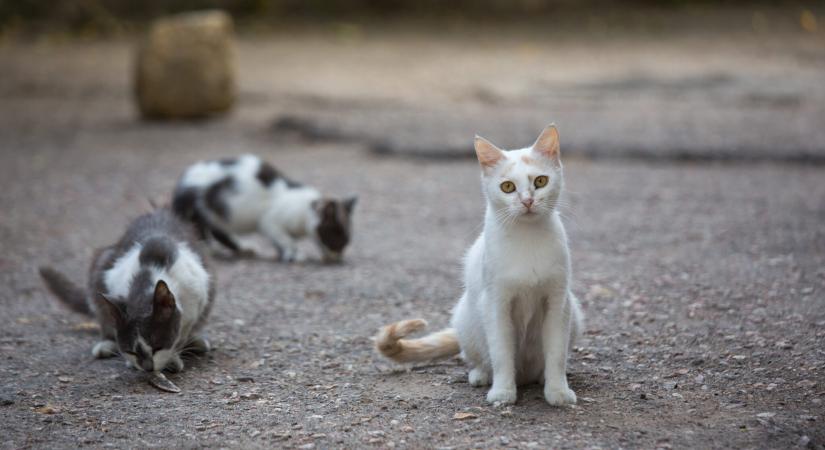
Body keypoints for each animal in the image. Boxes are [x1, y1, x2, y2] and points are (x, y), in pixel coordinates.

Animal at [40, 209, 214, 374]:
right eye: (131, 351)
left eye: (157, 347)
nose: (148, 367)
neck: (148, 271)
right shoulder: (111, 278)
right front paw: (132, 362)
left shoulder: (197, 291)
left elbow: (182, 332)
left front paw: (173, 357)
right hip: (101, 264)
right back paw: (106, 343)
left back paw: (196, 341)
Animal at [172, 154, 356, 264]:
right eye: (336, 236)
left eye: (347, 240)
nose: (338, 256)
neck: (305, 208)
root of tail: (182, 182)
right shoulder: (270, 221)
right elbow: (285, 239)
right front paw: (293, 255)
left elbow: (280, 241)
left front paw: (284, 254)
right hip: (199, 207)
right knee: (200, 228)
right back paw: (209, 250)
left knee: (219, 231)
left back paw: (244, 248)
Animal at [376, 125, 584, 406]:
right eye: (507, 187)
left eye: (540, 181)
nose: (527, 201)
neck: (527, 238)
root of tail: (525, 376)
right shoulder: (496, 303)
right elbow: (501, 352)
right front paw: (503, 392)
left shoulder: (557, 302)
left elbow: (556, 353)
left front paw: (558, 391)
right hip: (466, 317)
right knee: (479, 357)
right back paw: (482, 375)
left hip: (575, 314)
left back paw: (540, 377)